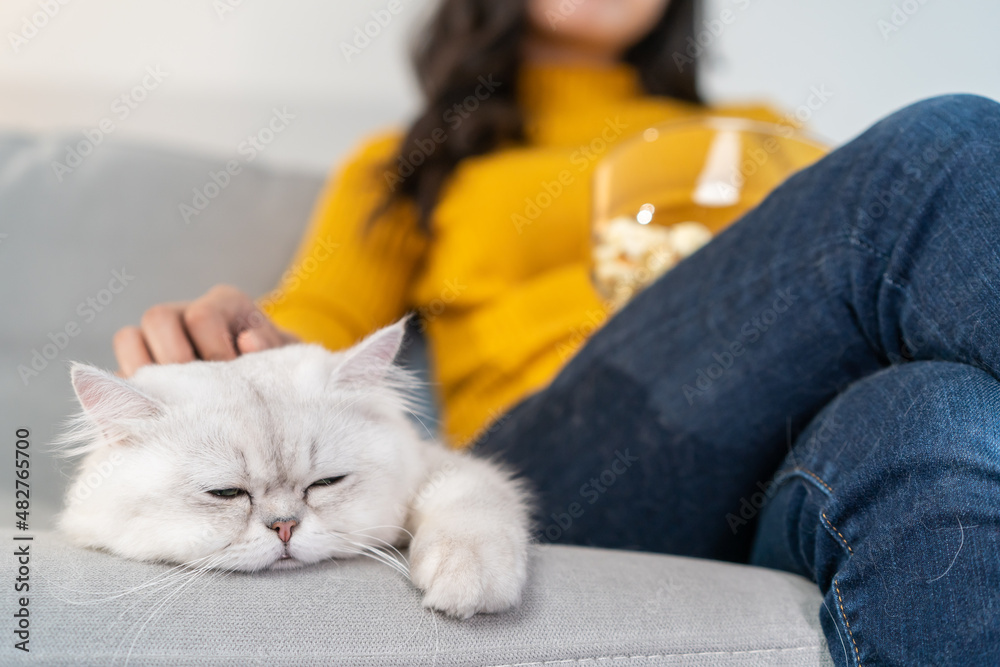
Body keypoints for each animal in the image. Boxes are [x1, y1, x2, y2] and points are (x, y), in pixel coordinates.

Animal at [56, 320, 532, 620]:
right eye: (226, 494)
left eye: (325, 483)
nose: (284, 527)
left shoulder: (443, 468)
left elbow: (473, 503)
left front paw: (466, 585)